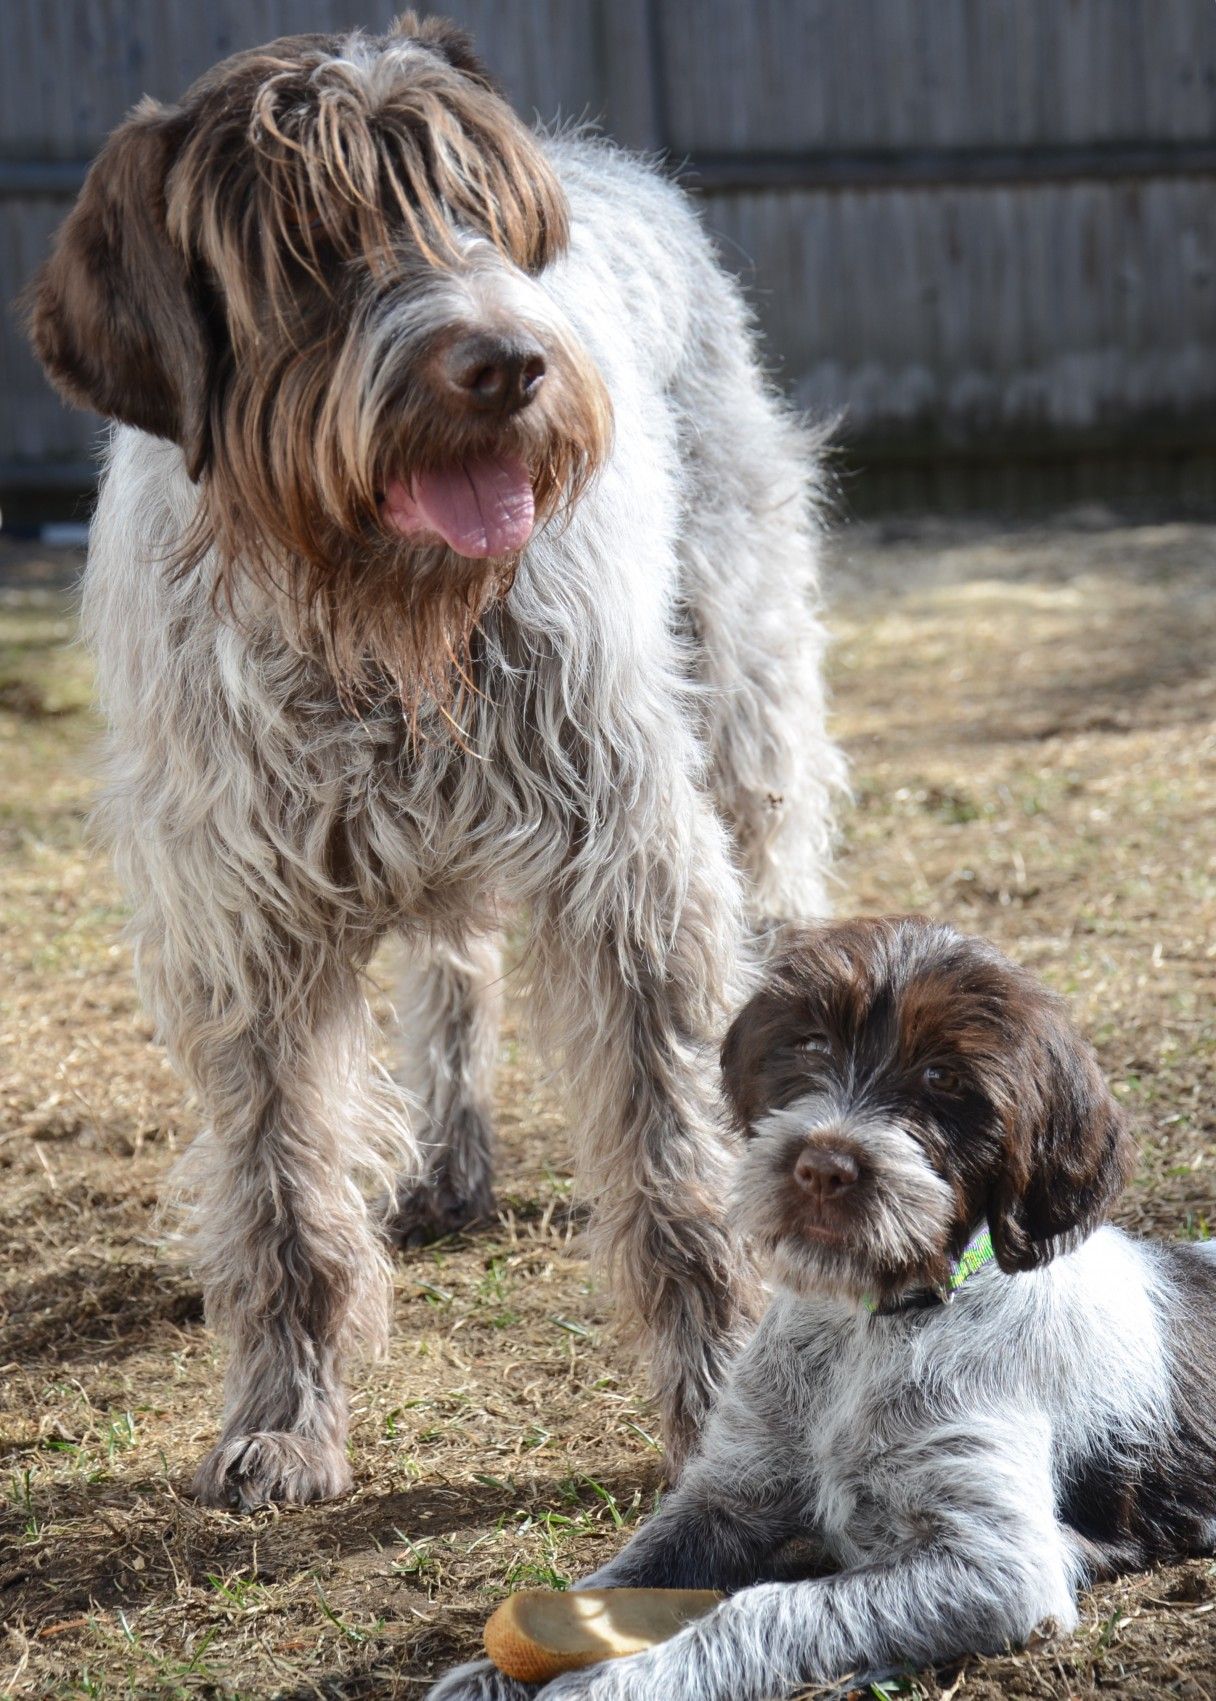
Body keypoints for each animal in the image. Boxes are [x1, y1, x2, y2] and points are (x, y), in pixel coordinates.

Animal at [30, 19, 846, 1510]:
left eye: (483, 218)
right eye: (311, 244)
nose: (512, 364)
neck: (369, 605)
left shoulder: (626, 864)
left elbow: (672, 1171)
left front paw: (715, 1402)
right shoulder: (240, 922)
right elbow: (284, 1195)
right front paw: (284, 1417)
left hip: (745, 705)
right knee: (455, 963)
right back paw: (451, 1165)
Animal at [433, 925, 1216, 1701]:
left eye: (945, 1078)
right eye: (810, 1043)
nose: (821, 1167)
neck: (867, 1325)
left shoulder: (994, 1567)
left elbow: (764, 1608)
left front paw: (611, 1681)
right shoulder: (724, 1495)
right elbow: (618, 1574)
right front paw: (488, 1673)